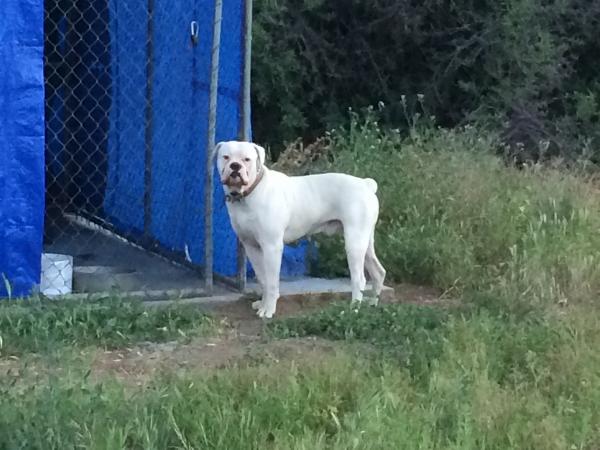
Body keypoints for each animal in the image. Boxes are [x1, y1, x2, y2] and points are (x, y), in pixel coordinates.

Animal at [213, 139, 386, 318]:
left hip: (354, 243)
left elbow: (272, 281)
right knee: (378, 272)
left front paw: (268, 310)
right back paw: (372, 303)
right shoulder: (251, 247)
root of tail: (365, 184)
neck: (251, 192)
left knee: (359, 279)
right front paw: (263, 304)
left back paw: (354, 309)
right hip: (365, 242)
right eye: (225, 157)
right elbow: (263, 279)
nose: (235, 166)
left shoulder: (272, 247)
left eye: (247, 159)